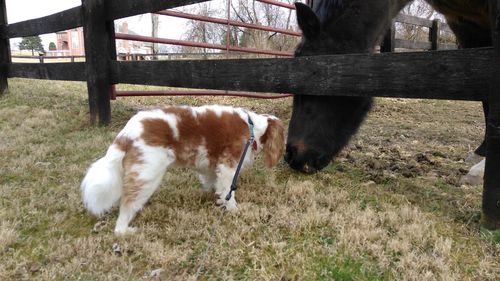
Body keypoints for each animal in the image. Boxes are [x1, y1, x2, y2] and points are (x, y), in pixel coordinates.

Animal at [82, 104, 286, 233]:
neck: (252, 127)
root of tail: (126, 133)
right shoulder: (229, 166)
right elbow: (229, 191)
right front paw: (233, 209)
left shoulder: (211, 166)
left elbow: (214, 184)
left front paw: (217, 199)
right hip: (147, 174)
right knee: (127, 204)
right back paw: (124, 231)